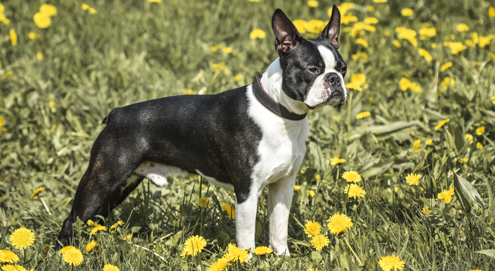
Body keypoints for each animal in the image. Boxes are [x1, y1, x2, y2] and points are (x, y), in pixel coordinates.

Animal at [58, 4, 346, 258]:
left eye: (343, 68)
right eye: (313, 69)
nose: (335, 79)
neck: (281, 114)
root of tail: (116, 113)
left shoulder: (283, 185)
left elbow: (279, 229)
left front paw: (282, 258)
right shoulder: (247, 191)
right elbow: (246, 238)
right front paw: (247, 261)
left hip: (120, 185)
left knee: (91, 219)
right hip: (103, 179)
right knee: (71, 220)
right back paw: (65, 254)